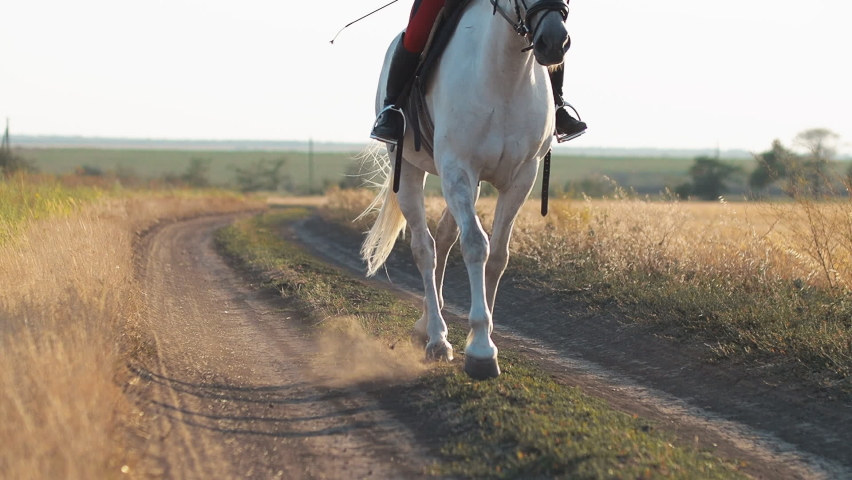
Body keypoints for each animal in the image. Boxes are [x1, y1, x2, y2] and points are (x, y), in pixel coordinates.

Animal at [360, 0, 572, 379]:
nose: (553, 43)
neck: (506, 73)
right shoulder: (457, 167)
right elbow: (475, 245)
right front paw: (481, 350)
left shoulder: (521, 177)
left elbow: (498, 255)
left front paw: (485, 334)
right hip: (411, 169)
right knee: (424, 248)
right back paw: (437, 339)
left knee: (444, 238)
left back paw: (426, 325)